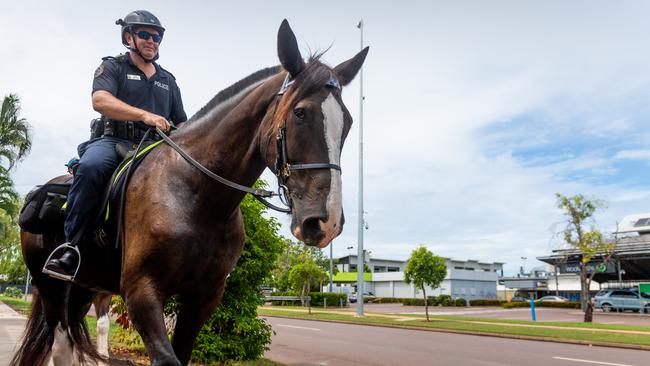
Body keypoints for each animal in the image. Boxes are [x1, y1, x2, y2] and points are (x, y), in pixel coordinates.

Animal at [11, 20, 364, 366]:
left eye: (347, 122)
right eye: (301, 113)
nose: (327, 222)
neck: (198, 198)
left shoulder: (202, 299)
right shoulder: (141, 292)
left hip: (86, 287)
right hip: (51, 286)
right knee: (61, 344)